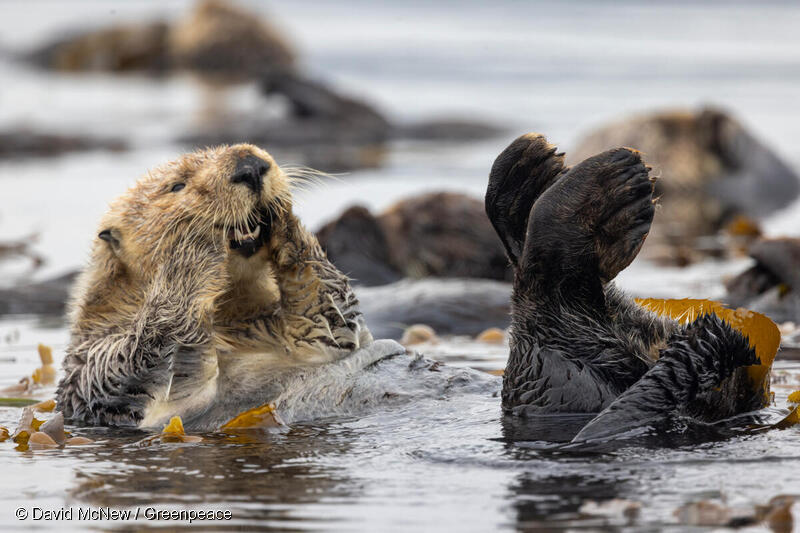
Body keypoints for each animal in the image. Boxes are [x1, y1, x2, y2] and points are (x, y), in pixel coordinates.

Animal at [56, 138, 768, 440]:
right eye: (177, 184)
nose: (251, 166)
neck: (237, 327)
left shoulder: (321, 332)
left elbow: (329, 307)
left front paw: (289, 228)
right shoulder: (94, 374)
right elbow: (127, 361)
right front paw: (194, 251)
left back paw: (528, 183)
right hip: (552, 378)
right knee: (554, 298)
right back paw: (584, 201)